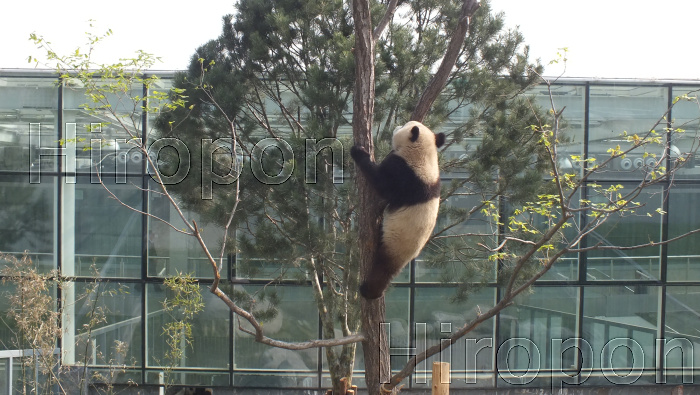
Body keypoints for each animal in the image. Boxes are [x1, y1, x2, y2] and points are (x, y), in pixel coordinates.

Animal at [348, 120, 442, 300]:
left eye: (404, 126)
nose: (397, 126)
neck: (424, 155)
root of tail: (409, 256)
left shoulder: (403, 172)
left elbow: (382, 185)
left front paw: (358, 151)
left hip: (394, 240)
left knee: (383, 268)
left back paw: (369, 291)